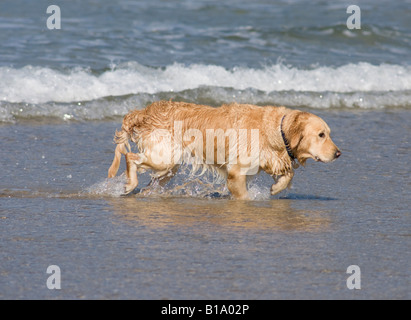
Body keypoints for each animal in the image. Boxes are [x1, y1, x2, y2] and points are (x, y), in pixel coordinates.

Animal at [108, 101, 342, 199]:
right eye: (321, 135)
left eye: (328, 133)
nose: (338, 153)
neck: (277, 129)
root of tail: (144, 112)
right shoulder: (236, 172)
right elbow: (243, 195)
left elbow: (288, 174)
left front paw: (276, 188)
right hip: (164, 157)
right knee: (130, 157)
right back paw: (129, 185)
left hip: (168, 167)